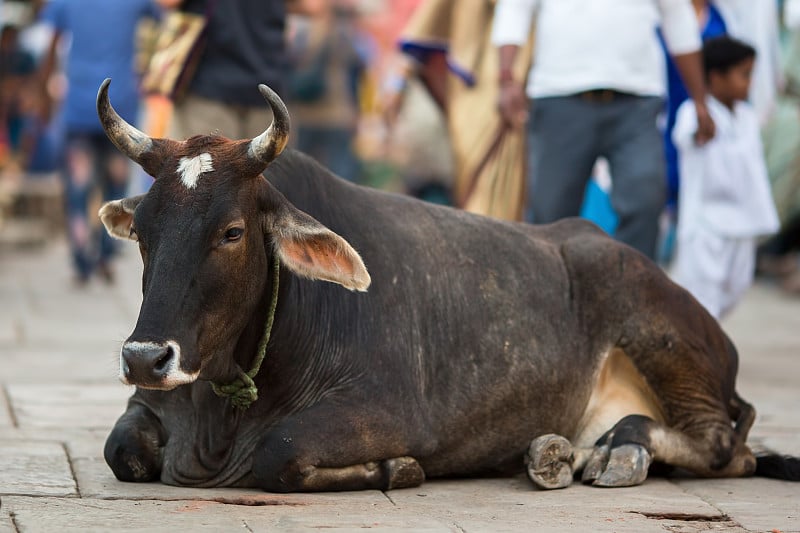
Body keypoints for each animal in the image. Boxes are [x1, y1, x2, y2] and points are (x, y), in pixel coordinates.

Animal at [95, 79, 800, 490]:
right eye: (145, 230)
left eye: (233, 232)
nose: (145, 357)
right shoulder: (148, 408)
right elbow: (120, 449)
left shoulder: (382, 410)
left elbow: (279, 453)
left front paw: (397, 468)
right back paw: (559, 453)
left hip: (667, 342)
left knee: (725, 444)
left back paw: (618, 451)